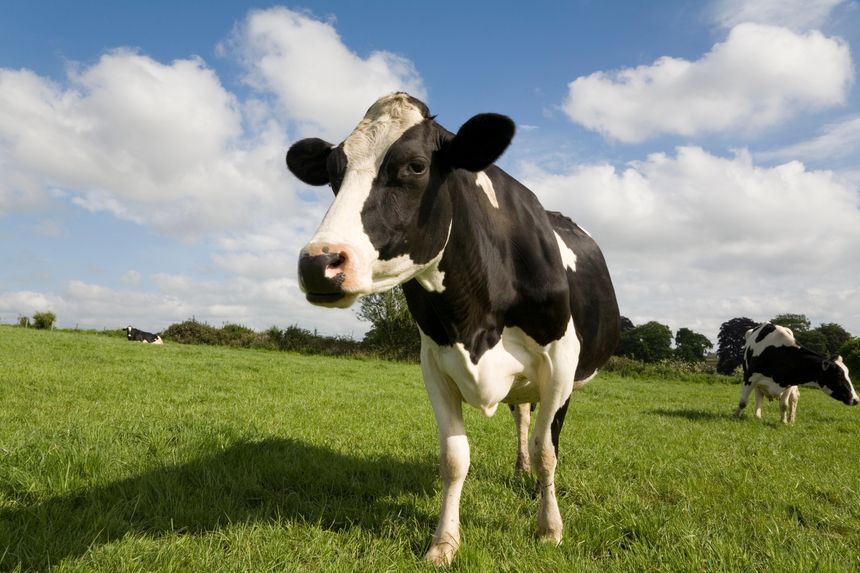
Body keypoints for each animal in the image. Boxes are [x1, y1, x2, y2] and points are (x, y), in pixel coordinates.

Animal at [286, 92, 620, 565]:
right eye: (334, 173)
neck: (475, 319)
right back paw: (518, 468)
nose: (319, 263)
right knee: (521, 413)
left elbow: (547, 452)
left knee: (545, 433)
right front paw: (444, 543)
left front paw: (549, 529)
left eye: (416, 166)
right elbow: (454, 457)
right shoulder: (434, 362)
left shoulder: (559, 362)